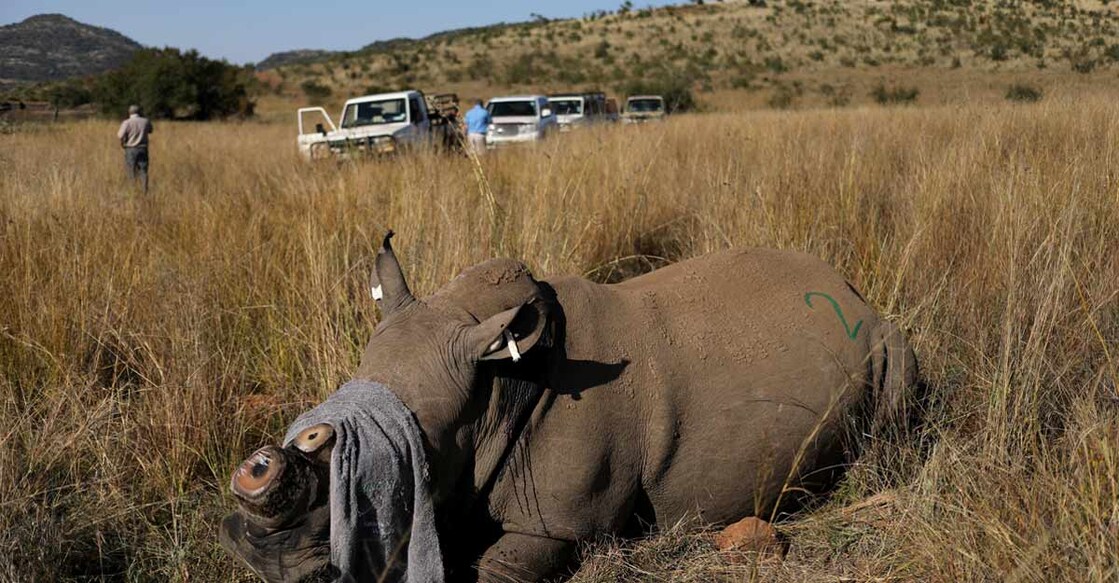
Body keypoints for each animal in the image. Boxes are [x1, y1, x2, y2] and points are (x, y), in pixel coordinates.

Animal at [221, 232, 918, 582]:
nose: (260, 555)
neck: (495, 385)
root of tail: (852, 296)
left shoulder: (554, 526)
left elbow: (497, 570)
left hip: (885, 343)